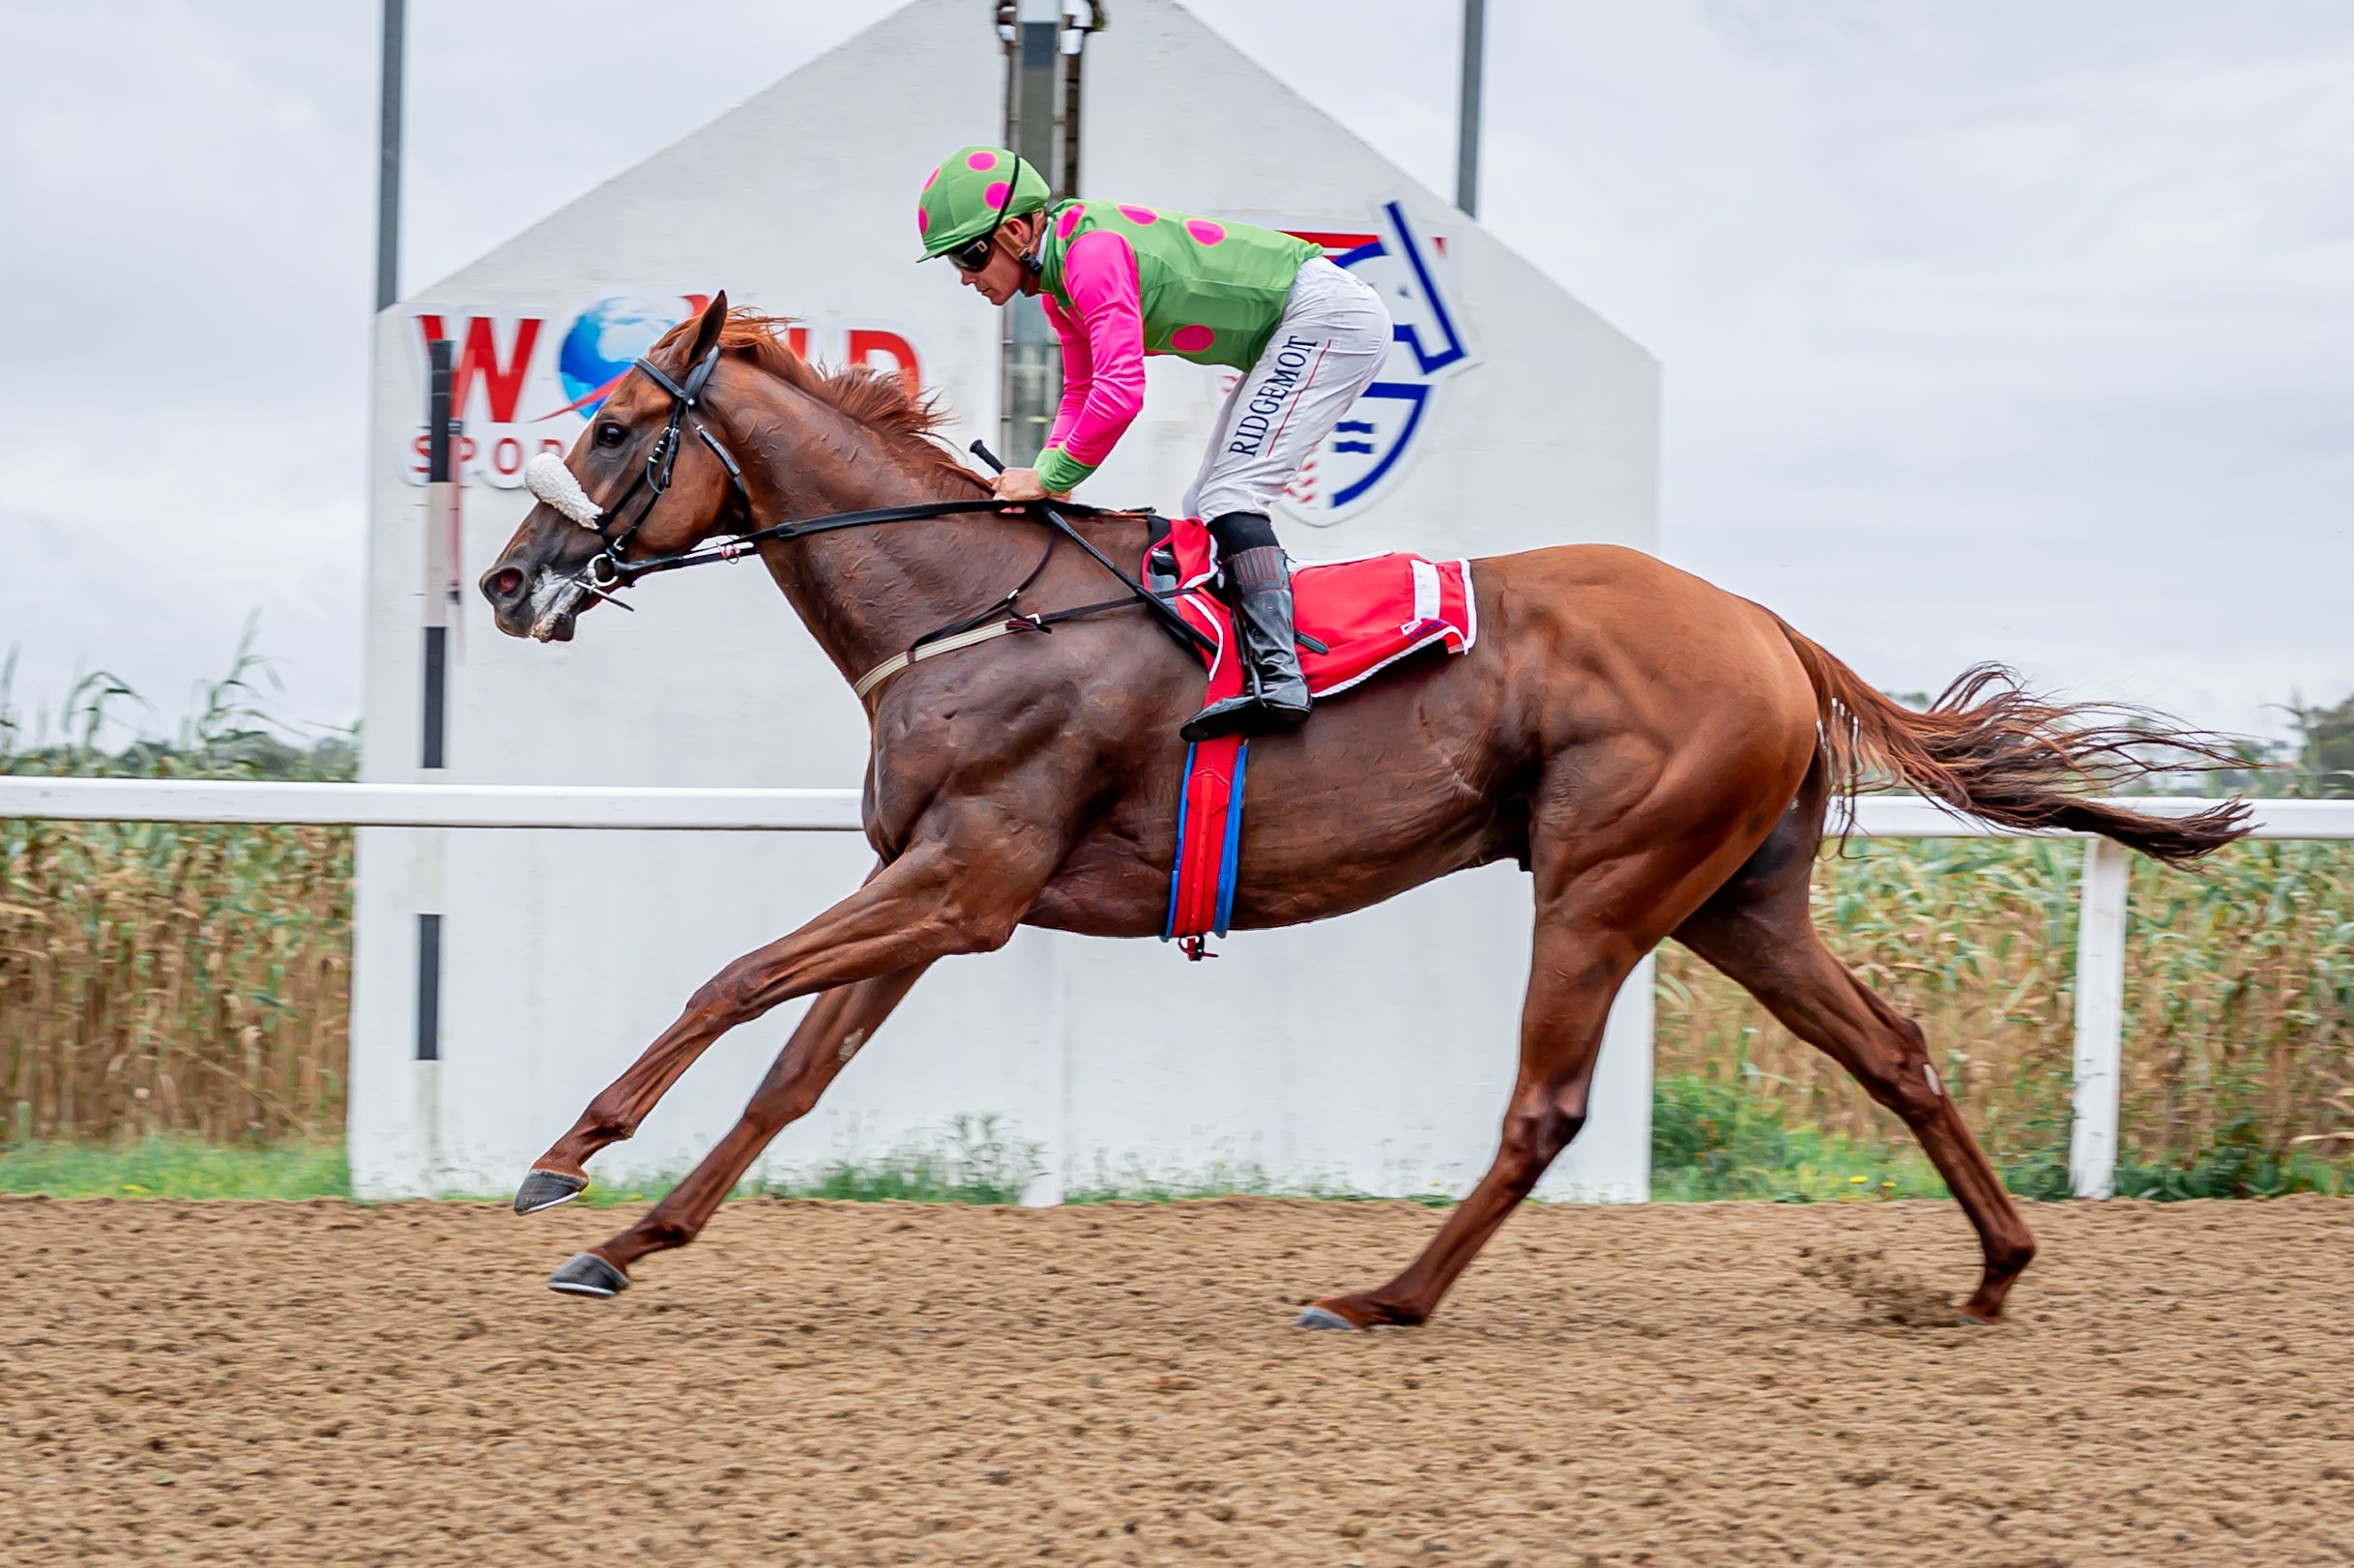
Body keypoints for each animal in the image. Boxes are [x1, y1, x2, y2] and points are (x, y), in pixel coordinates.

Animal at [478, 293, 2241, 1318]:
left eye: (615, 427)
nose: (503, 582)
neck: (969, 604)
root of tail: (1763, 624)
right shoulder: (934, 886)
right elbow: (793, 1070)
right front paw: (629, 1240)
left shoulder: (969, 878)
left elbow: (733, 978)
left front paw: (566, 1156)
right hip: (1738, 898)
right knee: (1894, 1049)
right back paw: (1997, 1270)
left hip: (1603, 880)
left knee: (1545, 1108)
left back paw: (1385, 1296)